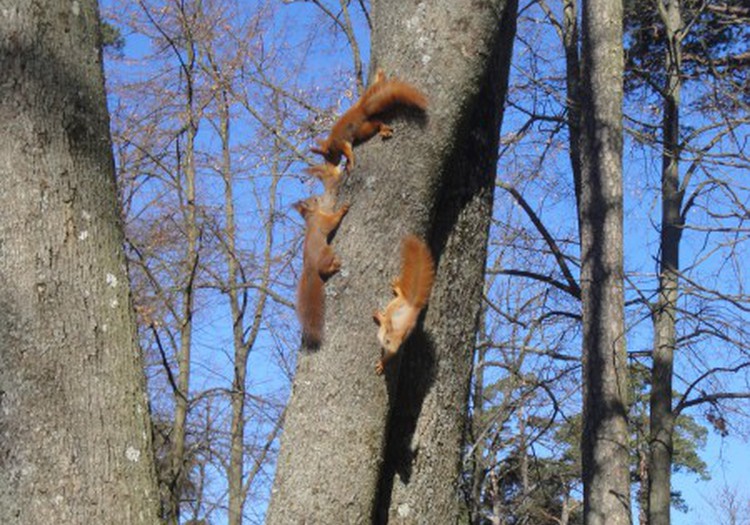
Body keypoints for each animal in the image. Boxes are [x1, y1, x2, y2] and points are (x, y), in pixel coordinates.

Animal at [296, 194, 352, 346]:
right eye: (314, 200)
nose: (318, 196)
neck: (312, 216)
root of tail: (311, 268)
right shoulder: (323, 221)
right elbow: (332, 221)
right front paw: (343, 208)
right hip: (327, 251)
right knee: (324, 270)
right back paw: (335, 265)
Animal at [374, 233, 438, 372]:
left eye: (399, 346)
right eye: (387, 341)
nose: (394, 351)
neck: (396, 331)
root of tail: (412, 305)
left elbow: (388, 356)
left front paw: (382, 364)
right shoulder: (385, 325)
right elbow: (383, 320)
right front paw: (378, 315)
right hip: (396, 303)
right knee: (400, 296)